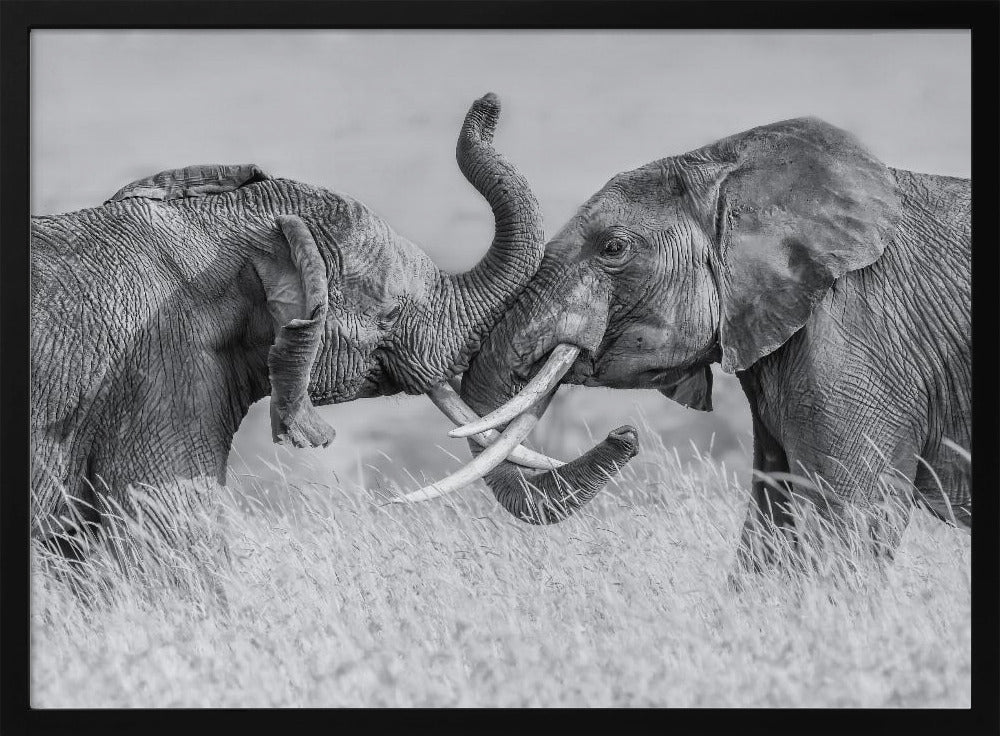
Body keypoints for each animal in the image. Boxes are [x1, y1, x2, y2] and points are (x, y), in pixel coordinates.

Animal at [417, 116, 970, 567]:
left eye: (612, 247)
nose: (625, 435)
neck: (733, 169)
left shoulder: (858, 334)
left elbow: (847, 523)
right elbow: (770, 523)